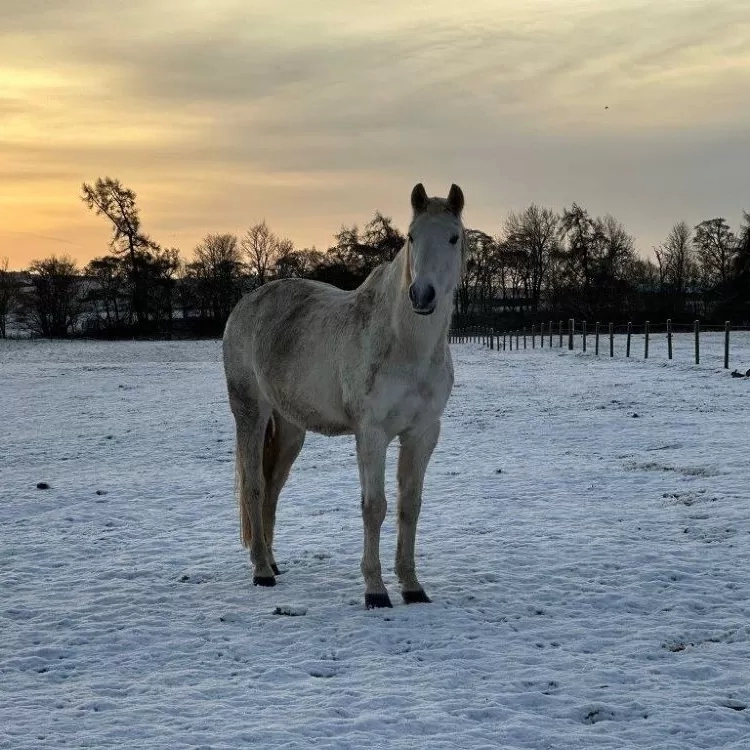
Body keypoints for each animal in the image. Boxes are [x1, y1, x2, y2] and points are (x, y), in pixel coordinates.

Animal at [223, 184, 468, 612]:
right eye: (411, 237)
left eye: (454, 237)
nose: (422, 295)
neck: (407, 347)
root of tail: (245, 305)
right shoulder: (371, 434)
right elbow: (375, 507)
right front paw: (376, 591)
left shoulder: (422, 433)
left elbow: (410, 506)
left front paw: (412, 587)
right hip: (250, 413)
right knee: (254, 485)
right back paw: (262, 571)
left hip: (290, 429)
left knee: (272, 487)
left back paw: (272, 561)